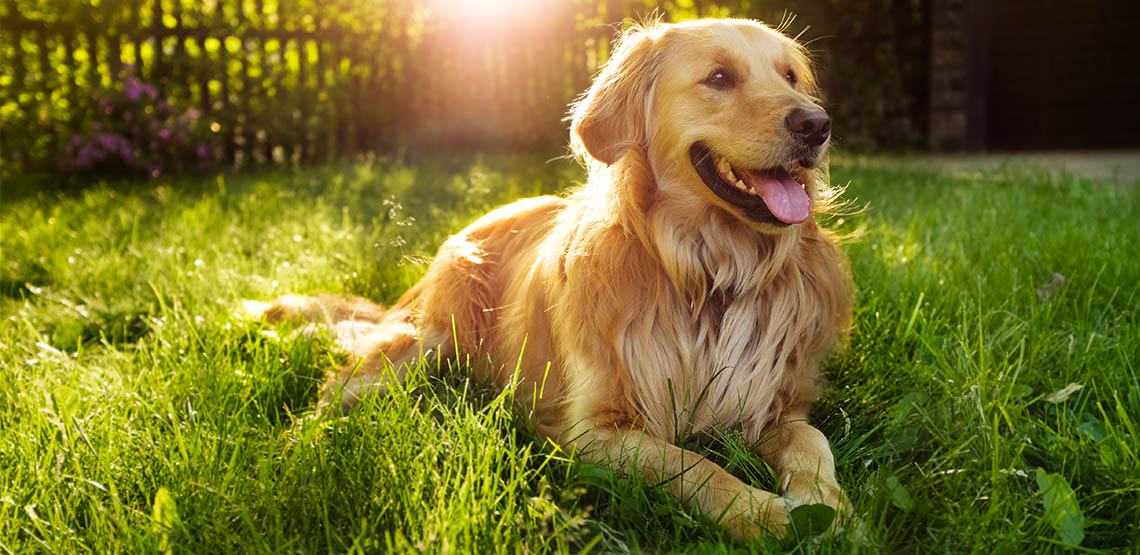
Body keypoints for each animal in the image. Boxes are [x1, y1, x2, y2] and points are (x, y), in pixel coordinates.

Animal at [251, 18, 857, 542]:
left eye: (790, 77)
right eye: (719, 78)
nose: (817, 125)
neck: (710, 273)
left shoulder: (773, 403)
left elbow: (812, 440)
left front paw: (828, 506)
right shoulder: (593, 431)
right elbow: (691, 464)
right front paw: (763, 514)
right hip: (424, 342)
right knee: (332, 393)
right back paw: (292, 454)